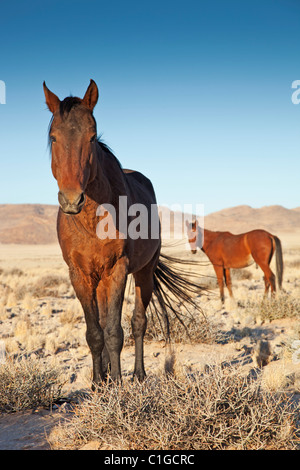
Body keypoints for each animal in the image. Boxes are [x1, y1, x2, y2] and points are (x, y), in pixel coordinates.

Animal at [42, 80, 202, 386]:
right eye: (54, 138)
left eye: (92, 137)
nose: (71, 200)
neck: (91, 220)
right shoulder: (79, 275)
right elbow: (95, 332)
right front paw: (98, 382)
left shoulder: (117, 269)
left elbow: (115, 332)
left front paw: (116, 383)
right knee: (105, 322)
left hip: (143, 272)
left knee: (138, 321)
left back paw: (138, 374)